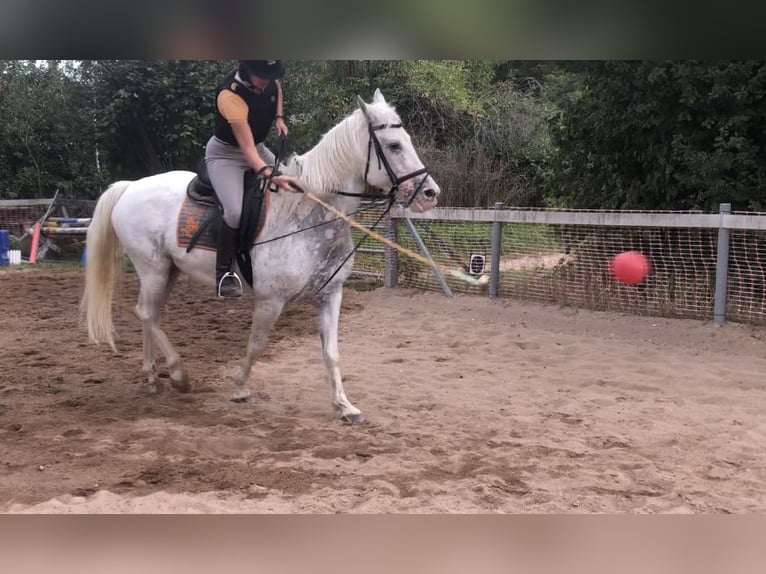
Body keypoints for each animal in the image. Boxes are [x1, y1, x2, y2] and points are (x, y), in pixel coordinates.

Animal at [81, 89, 440, 424]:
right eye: (394, 146)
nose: (430, 193)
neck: (308, 212)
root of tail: (130, 187)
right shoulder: (271, 300)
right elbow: (257, 344)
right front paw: (240, 387)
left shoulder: (330, 295)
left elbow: (331, 352)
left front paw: (344, 406)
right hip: (153, 269)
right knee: (147, 314)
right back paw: (178, 375)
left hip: (168, 271)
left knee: (149, 315)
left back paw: (153, 378)